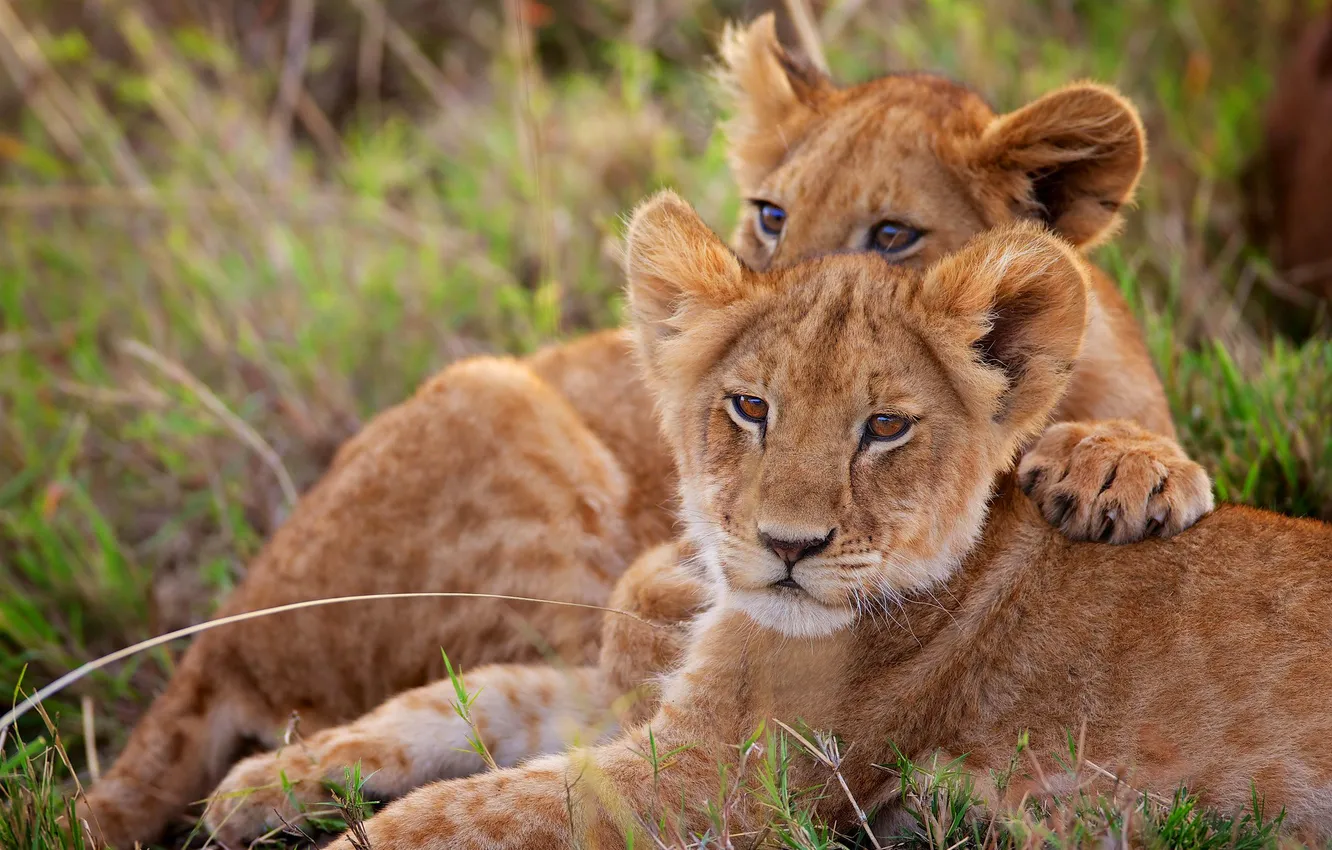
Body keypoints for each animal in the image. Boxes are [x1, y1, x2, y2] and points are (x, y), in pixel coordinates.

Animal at [78, 17, 1211, 847]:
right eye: (768, 214)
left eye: (892, 233)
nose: (746, 317)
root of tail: (220, 634)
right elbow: (646, 631)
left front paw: (1124, 470)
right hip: (503, 409)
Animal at [280, 192, 1329, 850]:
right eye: (750, 408)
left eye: (886, 428)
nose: (789, 548)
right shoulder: (649, 710)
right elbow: (460, 704)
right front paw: (266, 783)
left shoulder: (711, 786)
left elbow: (454, 815)